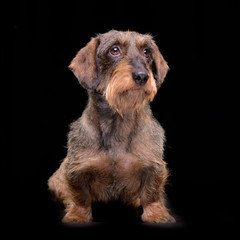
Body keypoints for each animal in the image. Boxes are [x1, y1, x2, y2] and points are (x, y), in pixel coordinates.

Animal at [48, 30, 175, 223]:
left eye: (147, 52)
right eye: (114, 50)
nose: (142, 76)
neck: (118, 120)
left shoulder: (154, 166)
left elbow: (151, 192)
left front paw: (157, 214)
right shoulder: (76, 168)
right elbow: (80, 195)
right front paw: (78, 214)